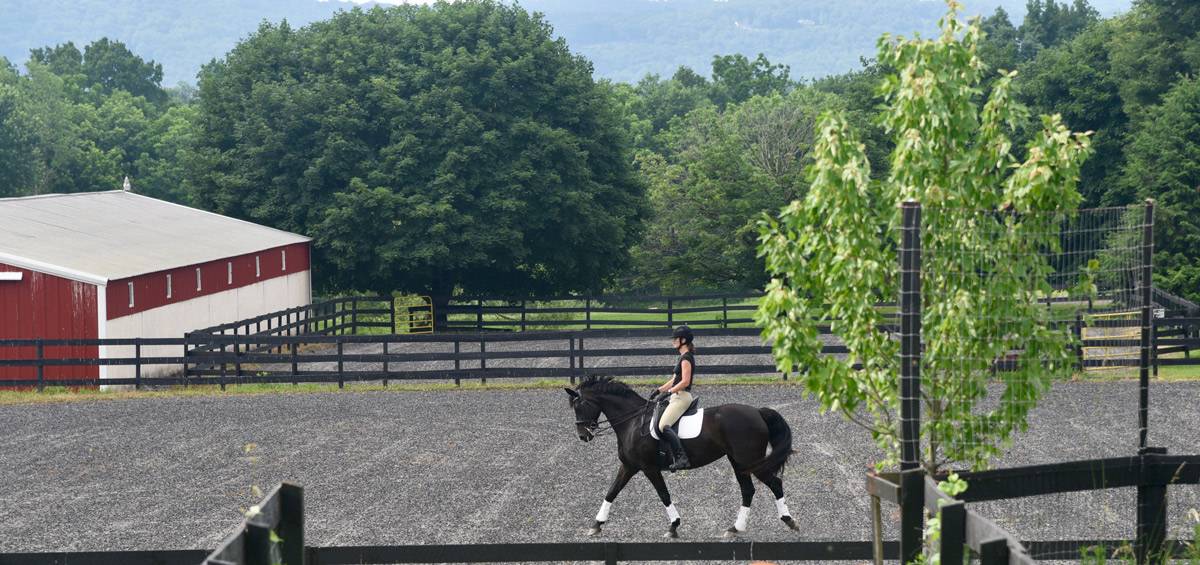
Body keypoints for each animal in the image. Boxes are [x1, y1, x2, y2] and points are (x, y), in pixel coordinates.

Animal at [566, 376, 801, 539]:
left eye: (578, 406)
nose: (583, 436)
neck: (632, 422)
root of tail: (758, 412)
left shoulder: (649, 467)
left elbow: (663, 495)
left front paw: (673, 526)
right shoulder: (628, 466)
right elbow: (611, 492)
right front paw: (596, 524)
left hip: (749, 461)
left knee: (775, 483)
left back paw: (789, 521)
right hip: (739, 463)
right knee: (748, 491)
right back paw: (735, 528)